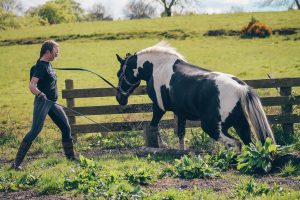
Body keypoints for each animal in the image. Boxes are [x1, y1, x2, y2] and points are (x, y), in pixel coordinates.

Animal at [115, 41, 276, 149]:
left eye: (119, 74)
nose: (119, 98)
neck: (157, 67)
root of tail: (241, 88)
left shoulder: (159, 107)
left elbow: (154, 126)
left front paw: (163, 145)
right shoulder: (180, 112)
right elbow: (180, 133)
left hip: (212, 126)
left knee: (235, 144)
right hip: (241, 125)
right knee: (249, 145)